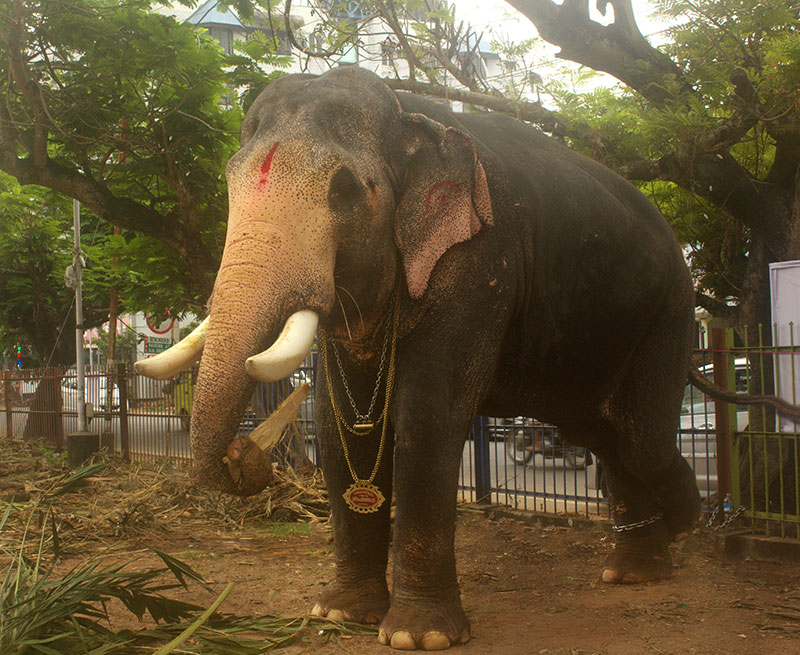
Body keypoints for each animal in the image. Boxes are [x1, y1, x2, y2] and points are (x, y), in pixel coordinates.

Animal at [136, 66, 700, 652]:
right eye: (228, 183)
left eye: (344, 189)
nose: (239, 454)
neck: (405, 109)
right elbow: (341, 432)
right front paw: (341, 614)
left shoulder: (479, 256)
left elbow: (426, 418)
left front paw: (417, 635)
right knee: (601, 435)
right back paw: (636, 570)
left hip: (670, 311)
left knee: (638, 439)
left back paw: (684, 524)